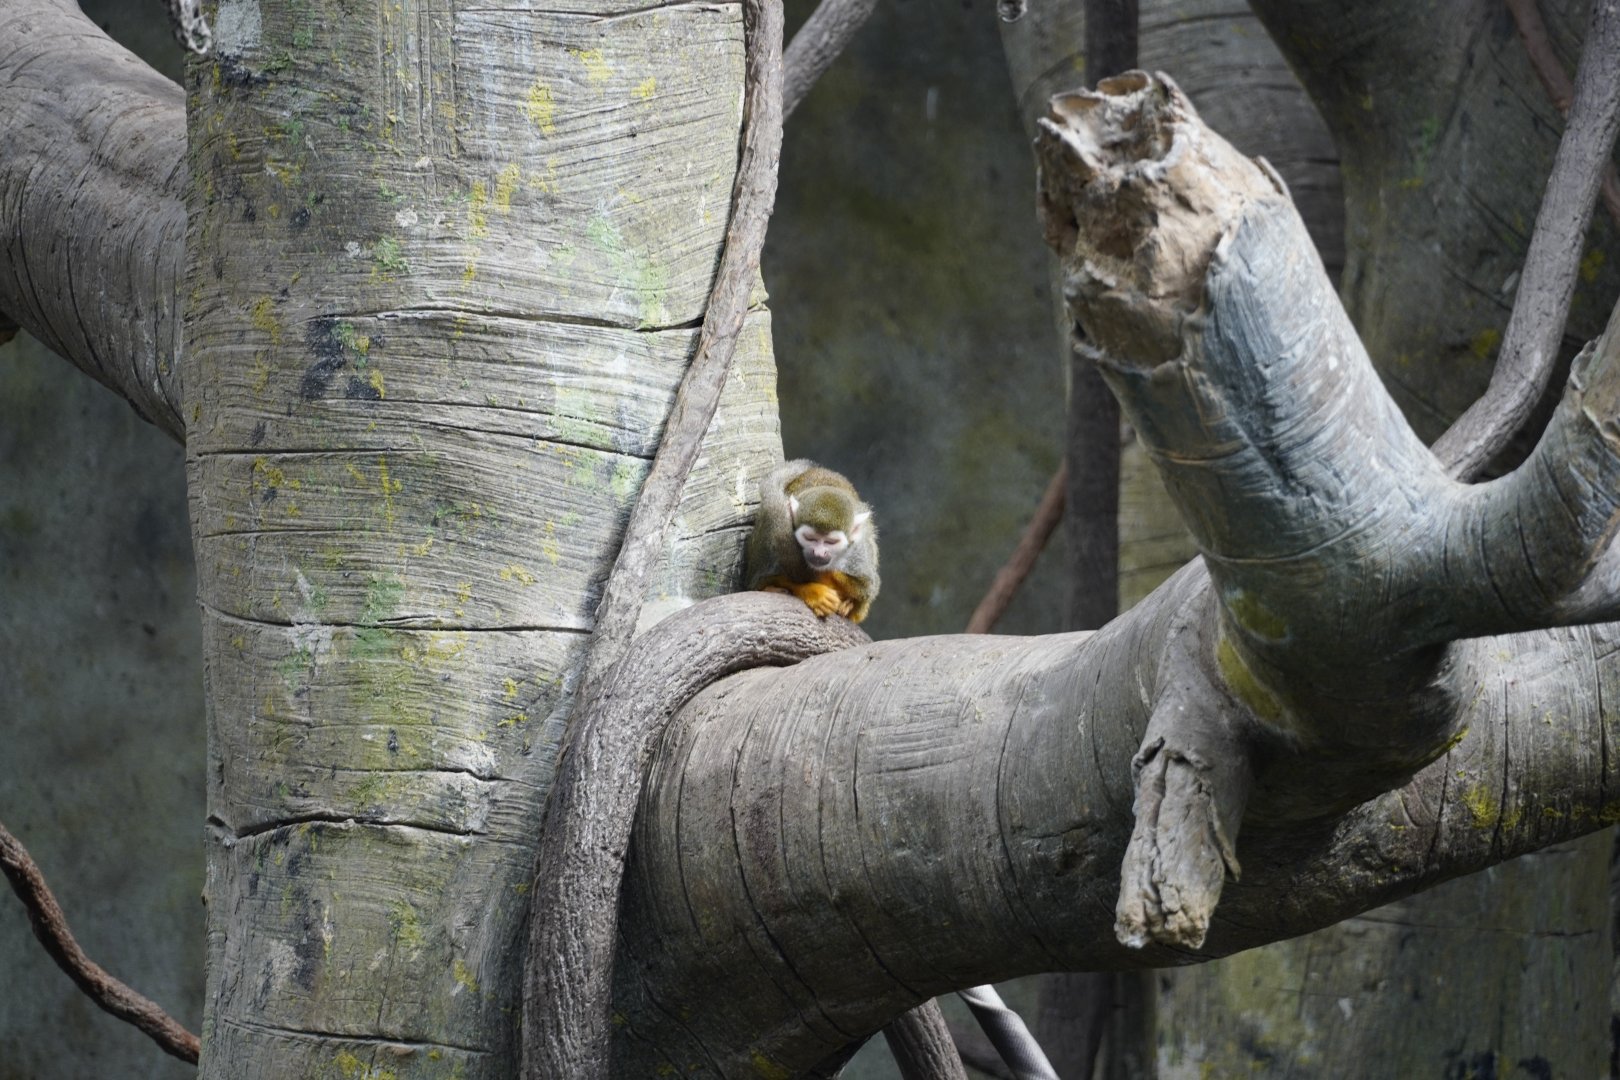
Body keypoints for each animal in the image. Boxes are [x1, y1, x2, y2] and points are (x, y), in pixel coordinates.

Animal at [745, 459, 880, 623]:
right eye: (810, 538)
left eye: (831, 542)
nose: (819, 553)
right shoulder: (772, 537)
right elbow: (757, 583)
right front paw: (814, 592)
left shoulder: (859, 552)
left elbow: (868, 588)